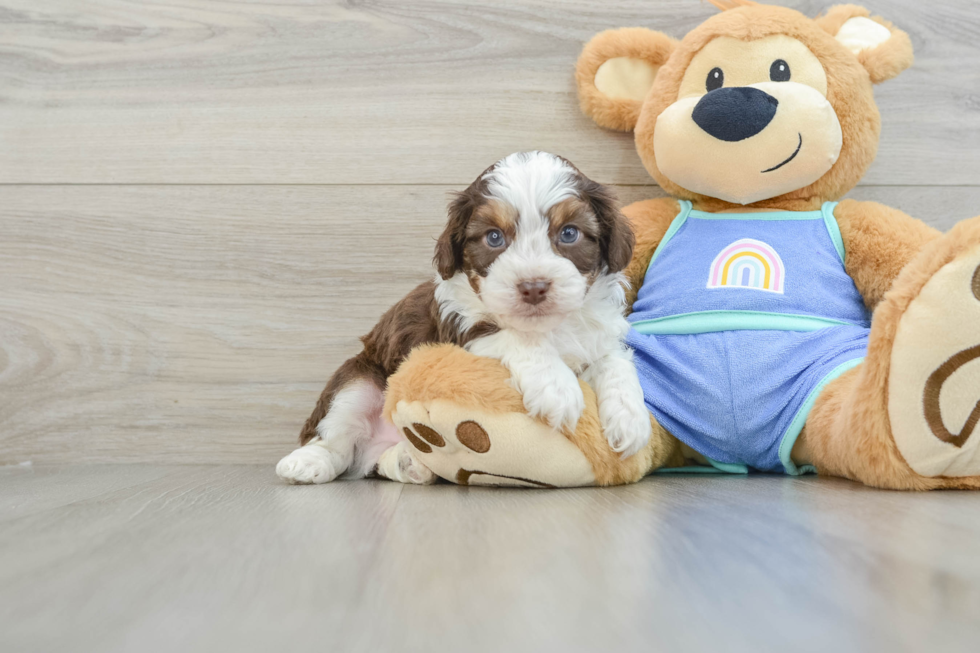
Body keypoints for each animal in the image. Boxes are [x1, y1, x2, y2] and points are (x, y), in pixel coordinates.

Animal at [278, 152, 652, 484]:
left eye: (570, 233)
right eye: (494, 237)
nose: (533, 287)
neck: (549, 327)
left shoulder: (598, 334)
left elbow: (615, 360)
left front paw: (631, 419)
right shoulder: (459, 330)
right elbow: (515, 338)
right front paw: (556, 388)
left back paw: (409, 462)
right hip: (359, 379)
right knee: (335, 439)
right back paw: (307, 463)